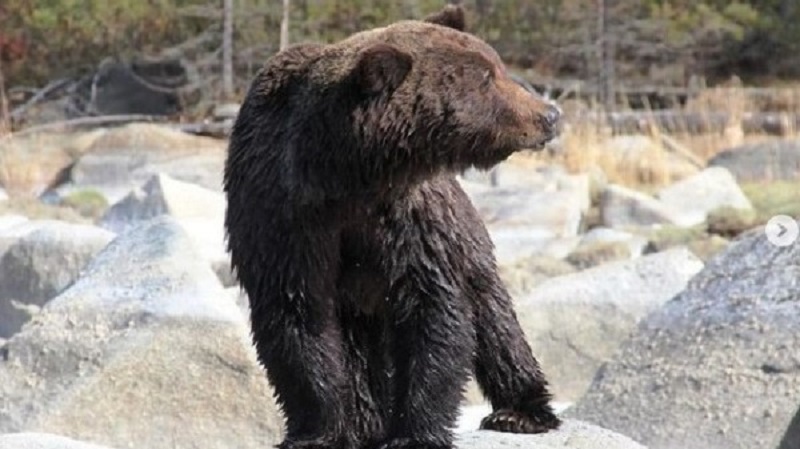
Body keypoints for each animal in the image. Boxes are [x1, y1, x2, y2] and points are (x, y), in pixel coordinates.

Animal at [223, 5, 562, 449]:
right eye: (487, 78)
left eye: (498, 66)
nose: (550, 115)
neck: (349, 177)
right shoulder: (284, 215)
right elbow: (297, 318)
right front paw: (319, 431)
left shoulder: (411, 221)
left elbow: (434, 311)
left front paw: (416, 433)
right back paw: (366, 423)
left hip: (467, 244)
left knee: (497, 325)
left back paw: (520, 411)